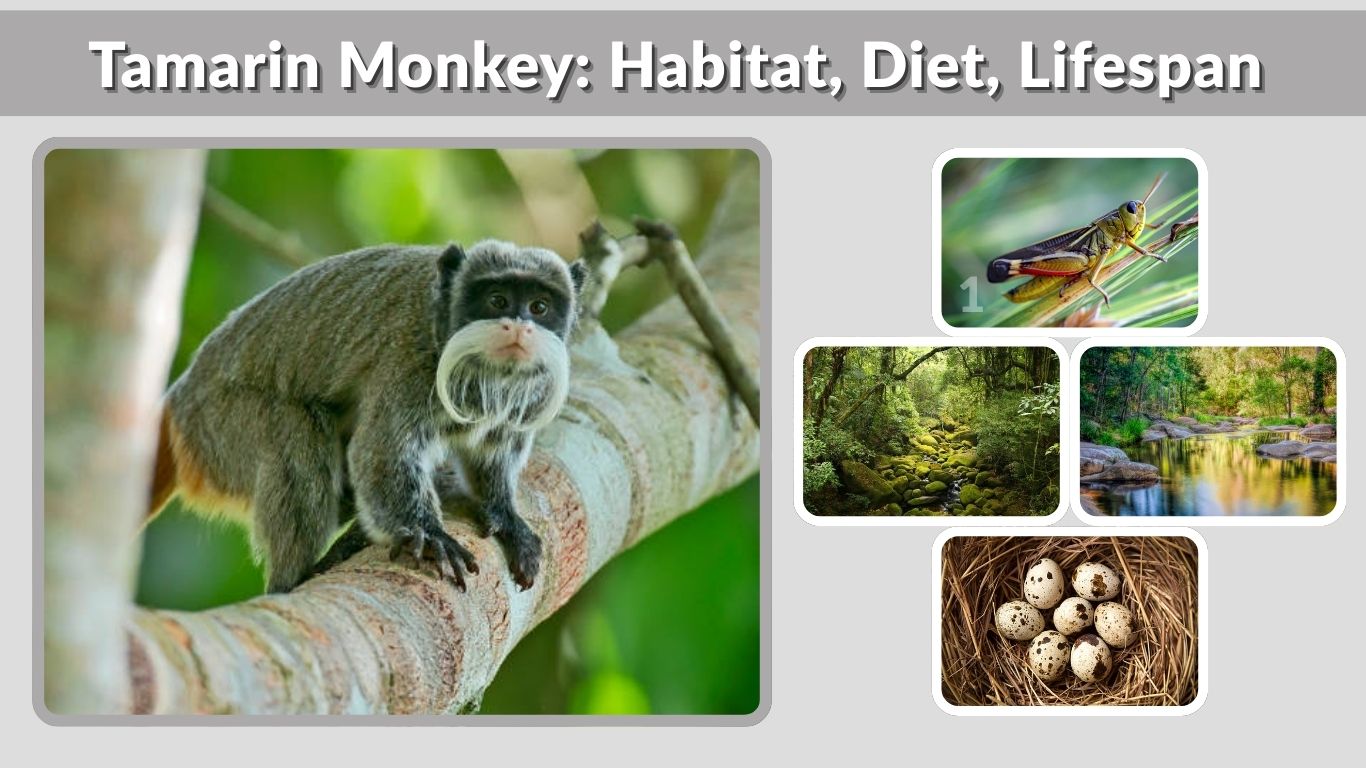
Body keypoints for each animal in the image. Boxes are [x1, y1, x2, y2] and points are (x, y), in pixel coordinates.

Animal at [148, 240, 588, 594]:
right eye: (497, 301)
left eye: (539, 307)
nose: (519, 326)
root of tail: (181, 398)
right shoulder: (412, 364)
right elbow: (381, 453)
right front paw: (430, 535)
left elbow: (492, 456)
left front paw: (505, 515)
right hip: (216, 428)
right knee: (296, 432)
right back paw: (294, 579)